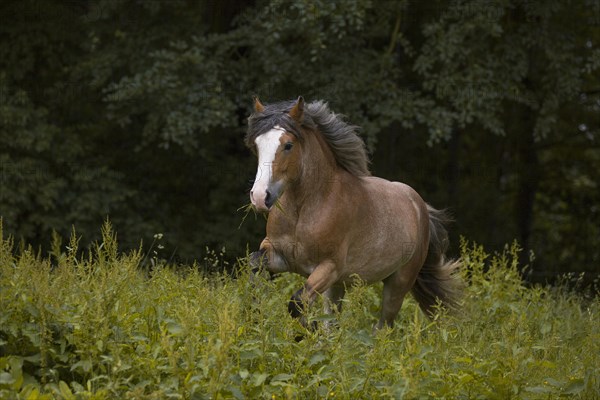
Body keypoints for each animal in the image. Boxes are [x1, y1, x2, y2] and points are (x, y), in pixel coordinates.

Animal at [246, 96, 462, 328]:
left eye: (288, 145)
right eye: (257, 145)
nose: (260, 197)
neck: (304, 211)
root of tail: (420, 208)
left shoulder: (329, 268)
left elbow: (297, 303)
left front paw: (306, 330)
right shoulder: (278, 255)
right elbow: (253, 267)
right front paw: (255, 313)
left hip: (398, 283)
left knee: (382, 327)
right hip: (337, 287)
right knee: (334, 322)